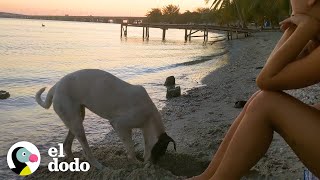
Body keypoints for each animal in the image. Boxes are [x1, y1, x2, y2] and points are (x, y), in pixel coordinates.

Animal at [35, 69, 175, 169]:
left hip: (76, 117)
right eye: (160, 152)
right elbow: (130, 147)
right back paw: (99, 166)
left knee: (67, 144)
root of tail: (55, 87)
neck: (150, 118)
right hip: (76, 123)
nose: (153, 166)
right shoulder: (119, 125)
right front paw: (135, 162)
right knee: (86, 150)